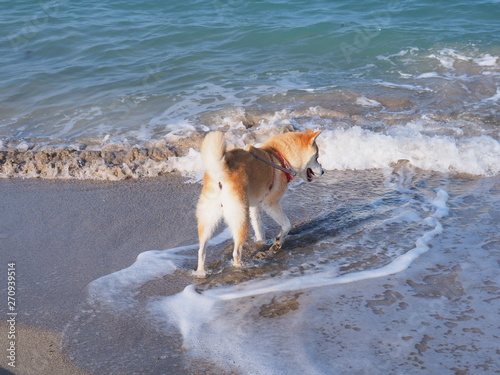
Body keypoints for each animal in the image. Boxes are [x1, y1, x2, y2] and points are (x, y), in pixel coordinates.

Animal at [193, 130, 322, 280]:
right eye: (317, 158)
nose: (323, 171)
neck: (279, 157)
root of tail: (220, 172)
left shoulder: (255, 207)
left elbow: (259, 227)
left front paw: (262, 243)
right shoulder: (270, 204)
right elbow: (286, 225)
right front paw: (278, 242)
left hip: (208, 219)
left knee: (201, 250)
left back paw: (201, 272)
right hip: (241, 219)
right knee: (236, 253)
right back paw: (241, 268)